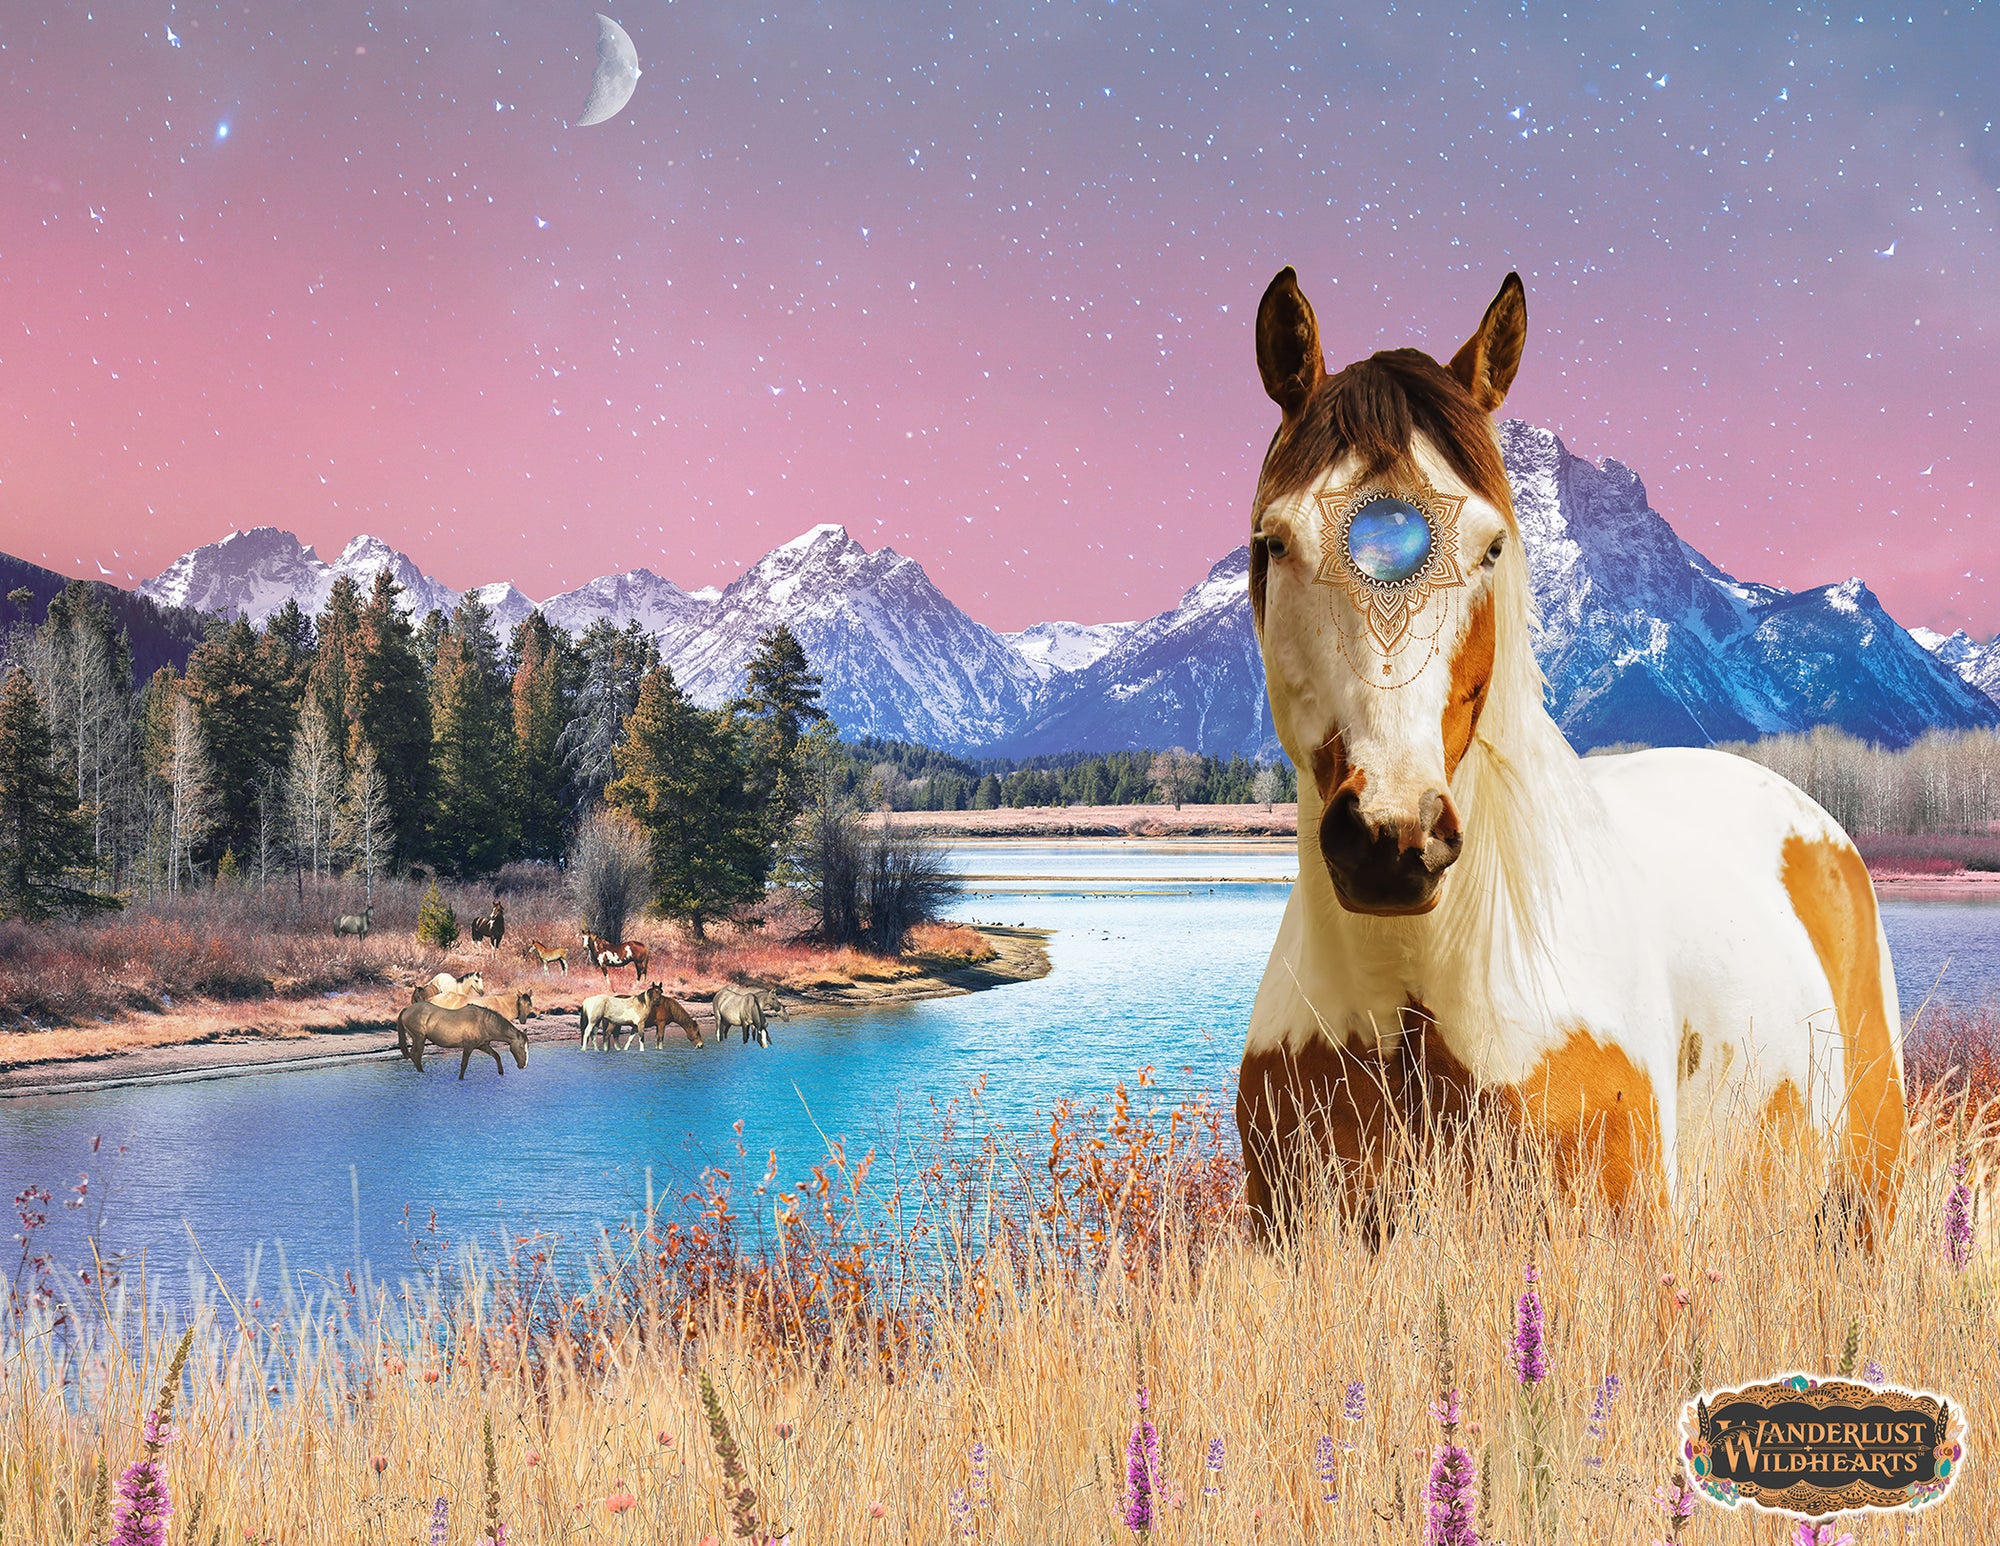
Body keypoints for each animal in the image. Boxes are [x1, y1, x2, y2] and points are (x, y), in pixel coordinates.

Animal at [398, 1000, 528, 1080]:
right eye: (521, 1046)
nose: (523, 1065)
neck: (483, 1022)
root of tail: (407, 1010)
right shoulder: (468, 1047)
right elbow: (464, 1064)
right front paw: (460, 1079)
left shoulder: (483, 1045)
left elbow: (496, 1056)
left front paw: (501, 1073)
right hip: (419, 1038)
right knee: (416, 1055)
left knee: (414, 1055)